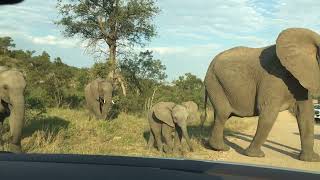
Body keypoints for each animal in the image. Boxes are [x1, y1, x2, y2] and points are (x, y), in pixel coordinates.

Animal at [202, 27, 320, 162]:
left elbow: (306, 114)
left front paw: (312, 159)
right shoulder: (273, 76)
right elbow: (268, 111)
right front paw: (254, 155)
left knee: (221, 114)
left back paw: (213, 146)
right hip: (214, 82)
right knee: (223, 113)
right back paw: (221, 148)